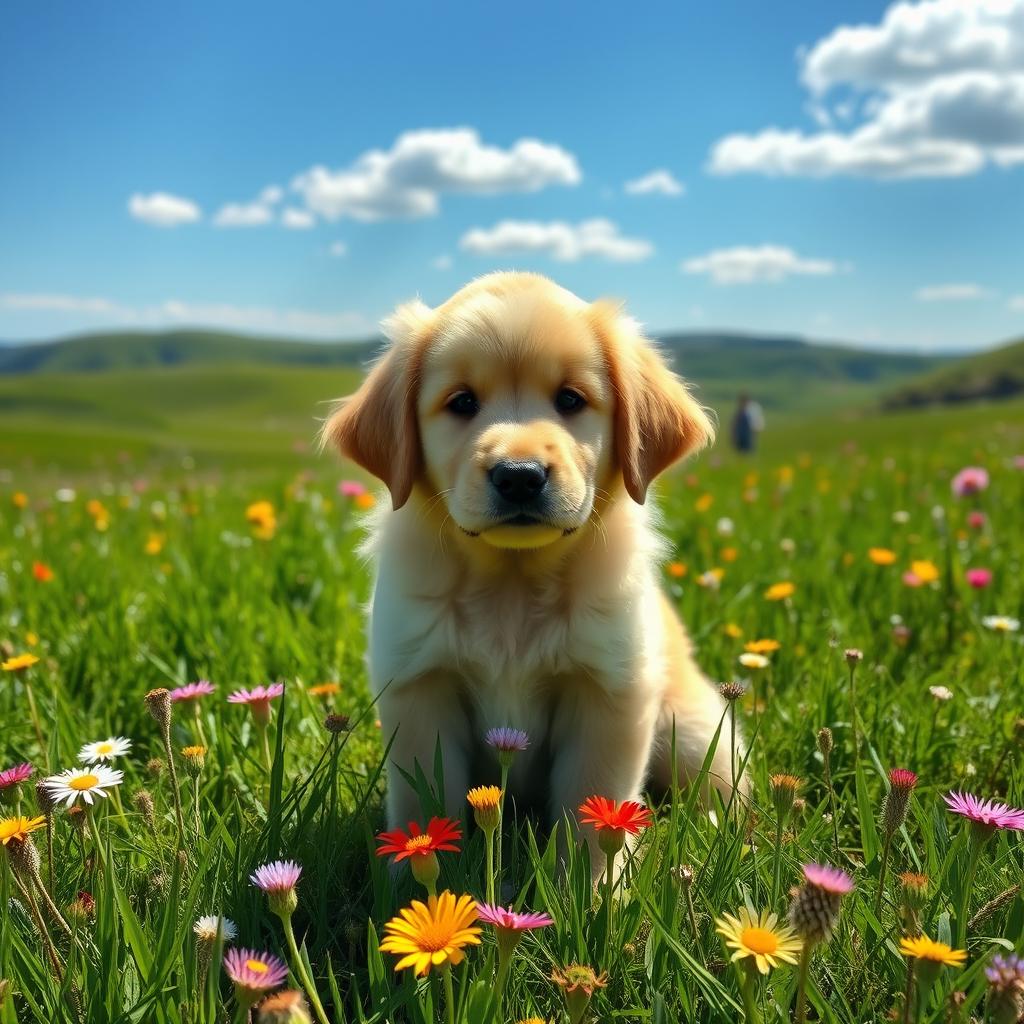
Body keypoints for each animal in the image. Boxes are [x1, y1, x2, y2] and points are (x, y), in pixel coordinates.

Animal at [323, 268, 741, 868]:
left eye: (570, 399)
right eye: (462, 402)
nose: (519, 475)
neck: (512, 584)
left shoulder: (609, 692)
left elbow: (595, 808)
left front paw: (592, 887)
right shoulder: (420, 685)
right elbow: (428, 805)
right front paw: (419, 879)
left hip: (696, 732)